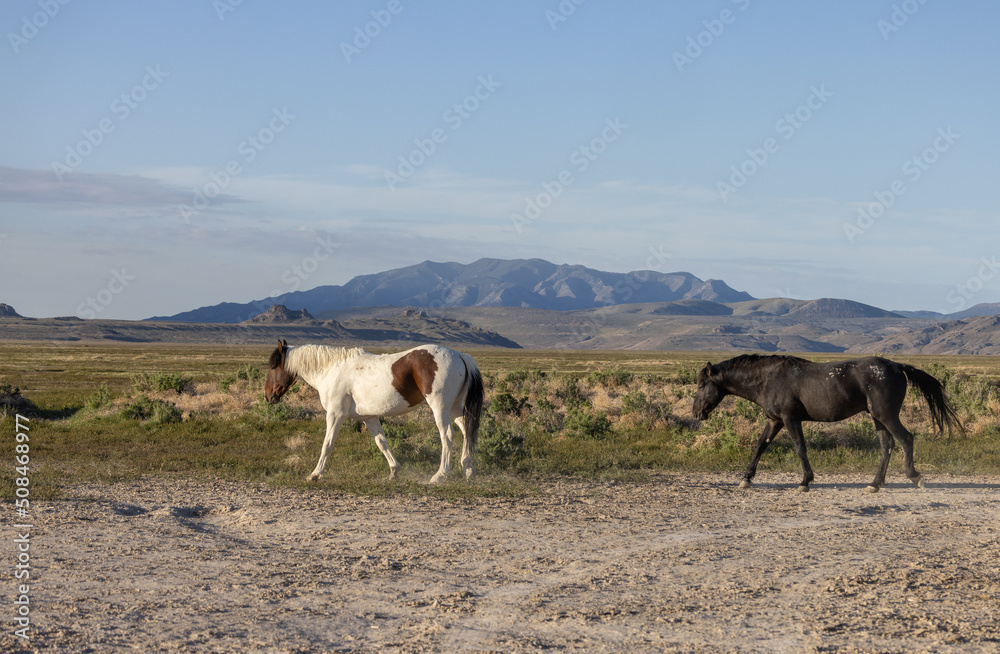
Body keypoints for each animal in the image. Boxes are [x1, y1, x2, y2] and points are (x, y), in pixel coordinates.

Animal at [266, 340, 484, 484]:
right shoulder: (369, 418)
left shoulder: (335, 415)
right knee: (467, 430)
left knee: (447, 436)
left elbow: (327, 445)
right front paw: (394, 470)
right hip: (455, 408)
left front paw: (316, 473)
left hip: (440, 408)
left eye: (273, 366)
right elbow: (382, 443)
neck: (330, 370)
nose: (268, 396)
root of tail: (460, 355)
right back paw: (468, 469)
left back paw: (440, 475)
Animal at [696, 356, 960, 494]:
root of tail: (896, 366)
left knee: (906, 439)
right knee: (887, 446)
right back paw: (874, 484)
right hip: (878, 418)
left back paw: (914, 477)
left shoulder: (790, 419)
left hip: (886, 415)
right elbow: (760, 446)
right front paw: (746, 479)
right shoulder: (775, 420)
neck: (769, 379)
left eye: (700, 384)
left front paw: (805, 481)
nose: (696, 413)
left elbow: (800, 448)